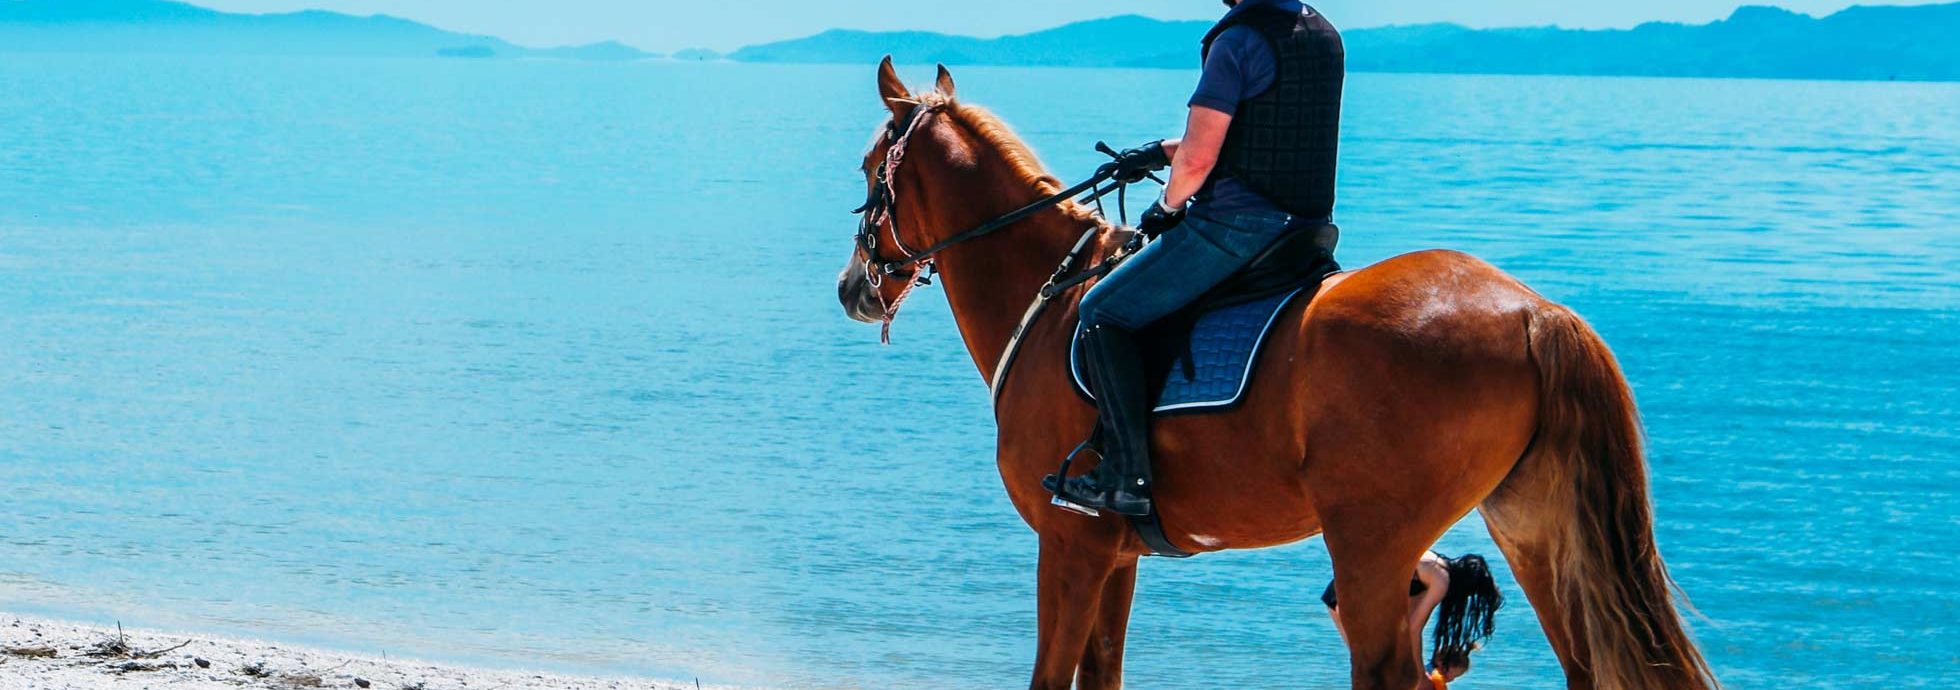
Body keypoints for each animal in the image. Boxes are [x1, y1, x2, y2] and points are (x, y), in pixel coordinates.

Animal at [834, 58, 1717, 690]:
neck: (1051, 299)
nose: (853, 288)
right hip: (1534, 530)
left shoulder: (1072, 545)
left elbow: (1052, 678)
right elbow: (1103, 674)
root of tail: (1534, 312)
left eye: (871, 169)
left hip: (1372, 546)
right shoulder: (1115, 558)